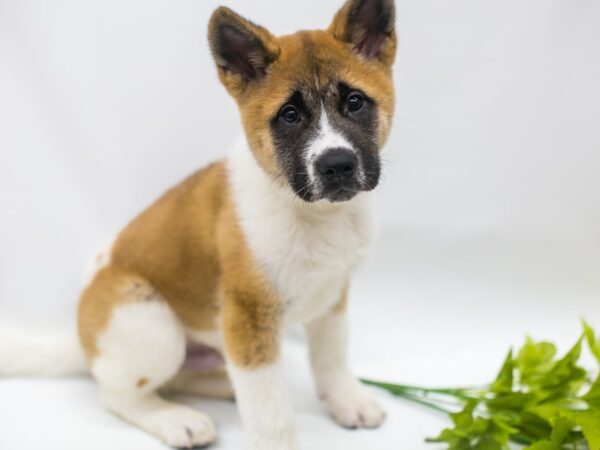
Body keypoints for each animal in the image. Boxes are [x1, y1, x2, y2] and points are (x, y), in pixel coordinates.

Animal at [3, 0, 398, 450]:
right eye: (290, 115)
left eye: (355, 102)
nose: (336, 165)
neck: (313, 214)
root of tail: (80, 340)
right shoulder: (247, 317)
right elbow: (271, 412)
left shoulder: (332, 296)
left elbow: (330, 356)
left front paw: (347, 400)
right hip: (151, 321)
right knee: (118, 395)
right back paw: (176, 419)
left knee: (180, 379)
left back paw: (221, 385)